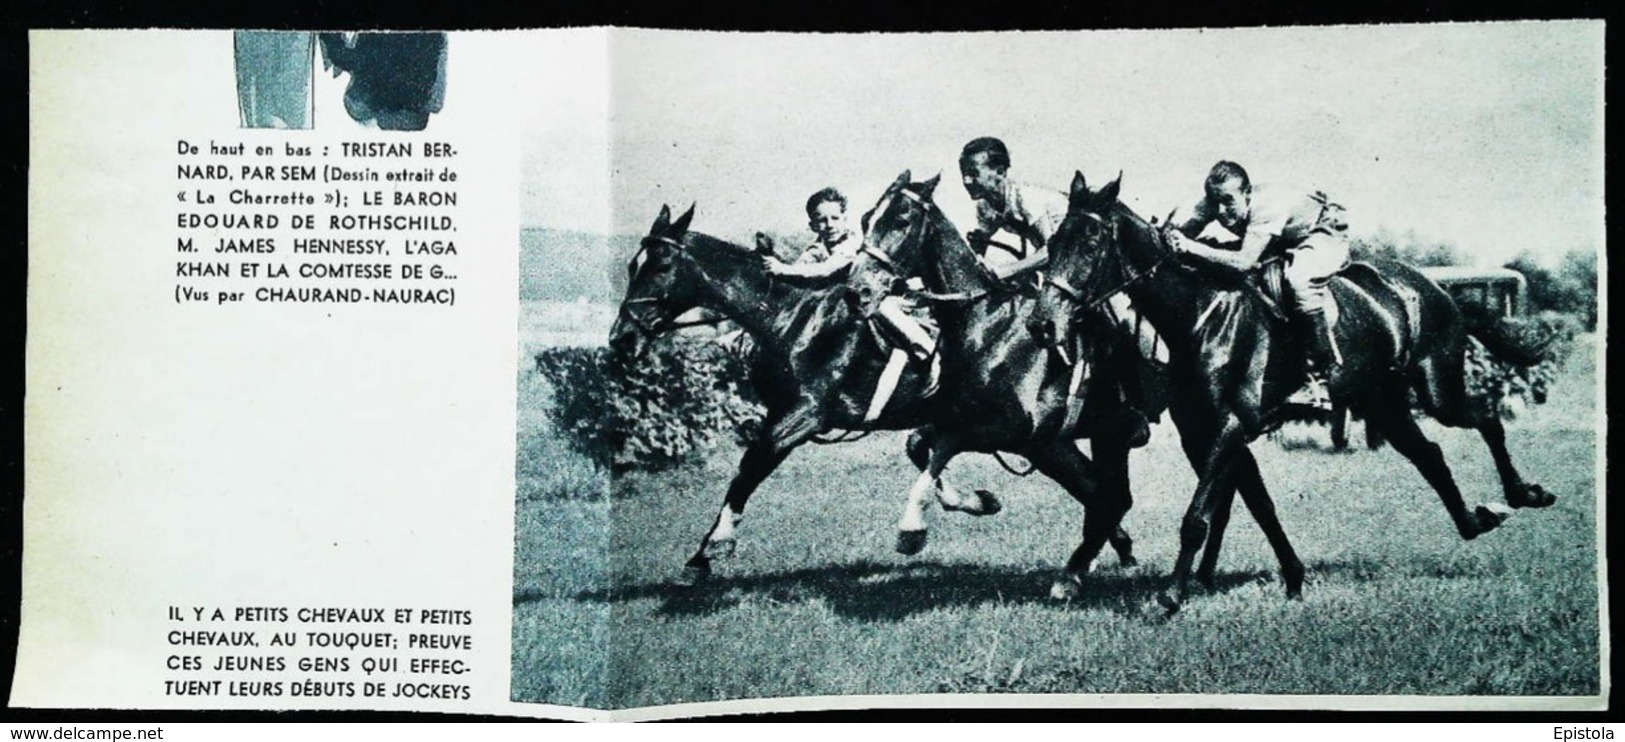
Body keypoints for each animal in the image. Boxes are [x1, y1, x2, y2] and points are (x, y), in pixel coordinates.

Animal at [1033, 170, 1553, 610]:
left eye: (1092, 242)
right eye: (1055, 240)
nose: (1043, 324)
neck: (1202, 314)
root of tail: (1439, 290)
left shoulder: (1232, 425)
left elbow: (1200, 515)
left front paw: (1172, 595)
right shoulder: (1200, 431)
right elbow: (1252, 503)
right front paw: (1291, 577)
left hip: (1435, 387)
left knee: (1485, 417)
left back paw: (1524, 493)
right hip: (1382, 401)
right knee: (1430, 454)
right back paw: (1476, 520)